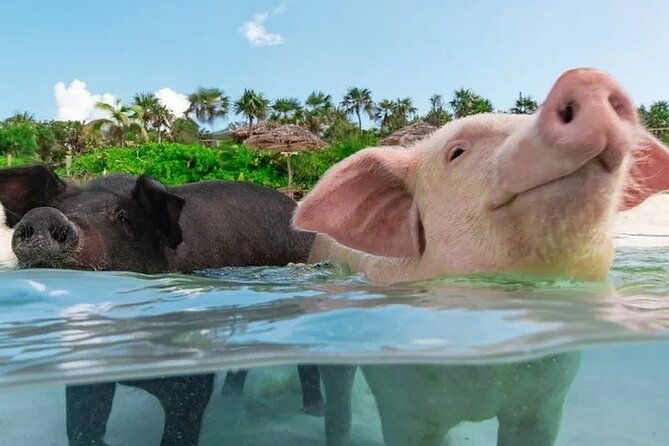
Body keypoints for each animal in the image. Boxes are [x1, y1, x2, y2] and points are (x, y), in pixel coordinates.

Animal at [6, 172, 323, 445]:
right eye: (57, 207)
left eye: (124, 218)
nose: (44, 215)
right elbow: (82, 424)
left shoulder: (191, 376)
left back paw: (313, 413)